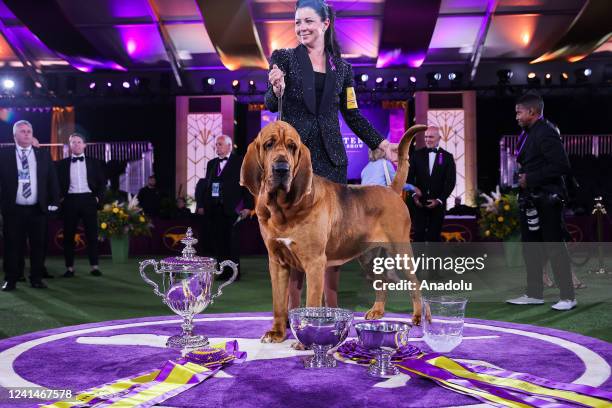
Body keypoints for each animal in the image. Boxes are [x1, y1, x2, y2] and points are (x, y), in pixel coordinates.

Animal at [240, 120, 426, 342]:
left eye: (292, 147)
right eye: (269, 144)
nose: (281, 169)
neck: (283, 208)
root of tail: (391, 190)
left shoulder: (314, 262)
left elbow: (312, 302)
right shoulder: (277, 262)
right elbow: (279, 302)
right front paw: (277, 332)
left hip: (400, 252)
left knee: (415, 283)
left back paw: (418, 317)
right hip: (368, 258)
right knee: (381, 282)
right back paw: (377, 312)